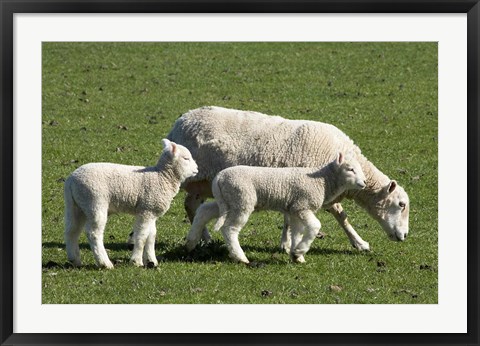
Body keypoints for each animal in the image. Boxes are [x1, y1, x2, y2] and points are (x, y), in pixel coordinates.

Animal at [63, 139, 199, 268]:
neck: (162, 176)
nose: (197, 169)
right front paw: (136, 261)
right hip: (94, 201)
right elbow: (142, 236)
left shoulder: (151, 211)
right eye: (186, 158)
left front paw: (151, 261)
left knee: (71, 230)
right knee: (93, 233)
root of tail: (71, 180)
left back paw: (74, 260)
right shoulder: (146, 210)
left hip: (76, 205)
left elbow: (151, 236)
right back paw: (104, 263)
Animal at [186, 153, 366, 264]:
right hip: (241, 199)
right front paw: (300, 250)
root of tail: (219, 178)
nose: (364, 183)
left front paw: (296, 255)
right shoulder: (303, 205)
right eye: (350, 169)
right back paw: (240, 257)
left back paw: (191, 242)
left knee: (204, 211)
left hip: (227, 200)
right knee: (229, 229)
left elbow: (297, 232)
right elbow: (315, 226)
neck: (323, 181)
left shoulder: (295, 209)